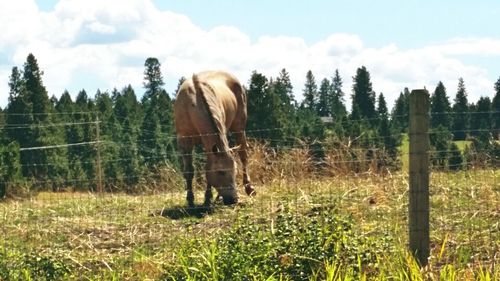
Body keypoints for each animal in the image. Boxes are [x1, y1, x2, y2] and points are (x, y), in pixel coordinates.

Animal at [175, 70, 254, 206]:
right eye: (221, 172)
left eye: (235, 171)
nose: (233, 199)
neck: (193, 103)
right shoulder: (184, 141)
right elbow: (189, 171)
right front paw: (190, 200)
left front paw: (208, 198)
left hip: (239, 128)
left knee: (243, 154)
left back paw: (248, 187)